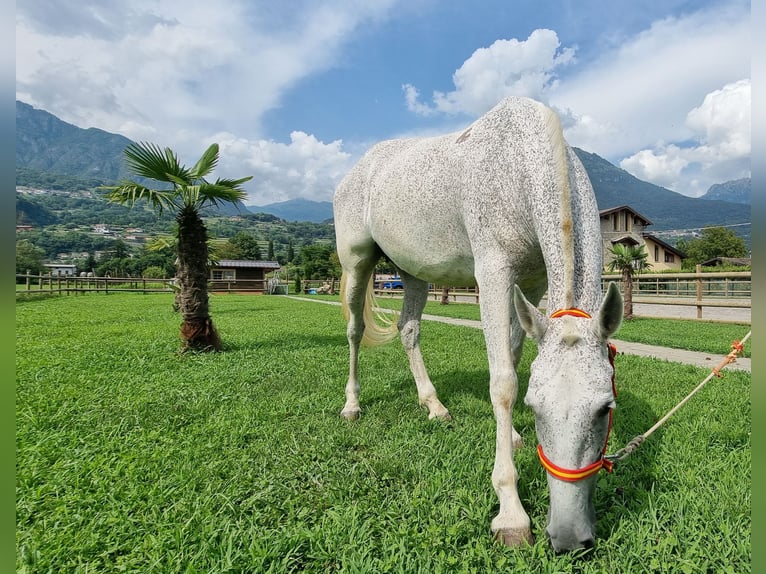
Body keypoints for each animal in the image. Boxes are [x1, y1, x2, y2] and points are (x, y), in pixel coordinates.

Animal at [334, 98, 624, 552]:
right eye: (536, 407)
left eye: (604, 408)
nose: (568, 537)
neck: (517, 160)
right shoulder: (493, 272)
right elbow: (502, 381)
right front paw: (511, 512)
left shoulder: (532, 283)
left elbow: (516, 356)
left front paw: (515, 437)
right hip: (357, 262)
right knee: (354, 331)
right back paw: (352, 405)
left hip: (413, 271)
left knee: (409, 329)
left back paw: (434, 406)